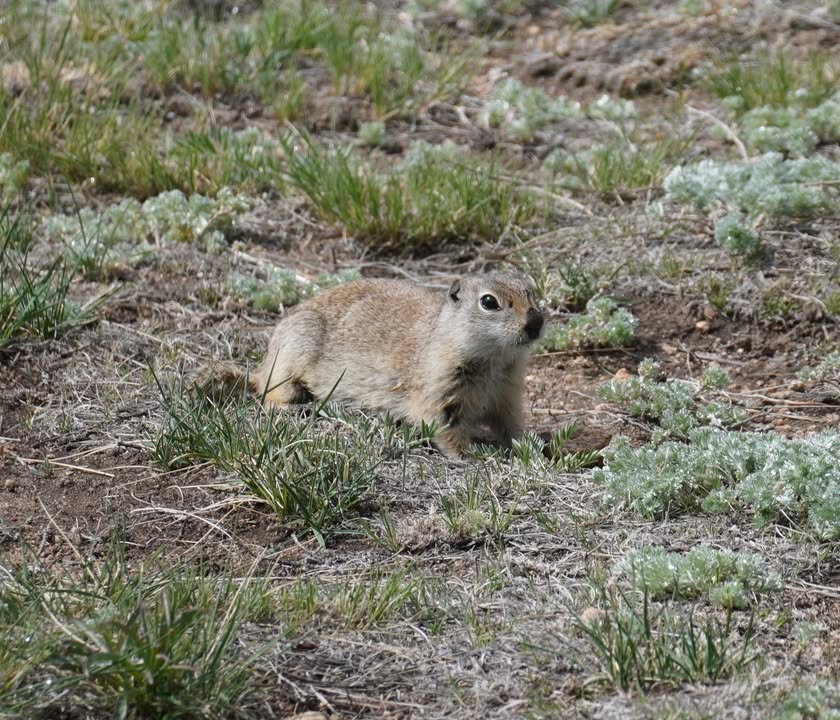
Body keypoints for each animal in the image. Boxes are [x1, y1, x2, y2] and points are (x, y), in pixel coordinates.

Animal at [220, 272, 544, 458]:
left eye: (530, 292)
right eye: (489, 302)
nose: (536, 321)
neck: (495, 360)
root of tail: (262, 365)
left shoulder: (507, 392)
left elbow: (510, 423)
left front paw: (531, 446)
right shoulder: (439, 386)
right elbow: (443, 425)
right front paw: (472, 456)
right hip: (291, 353)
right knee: (269, 394)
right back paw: (298, 407)